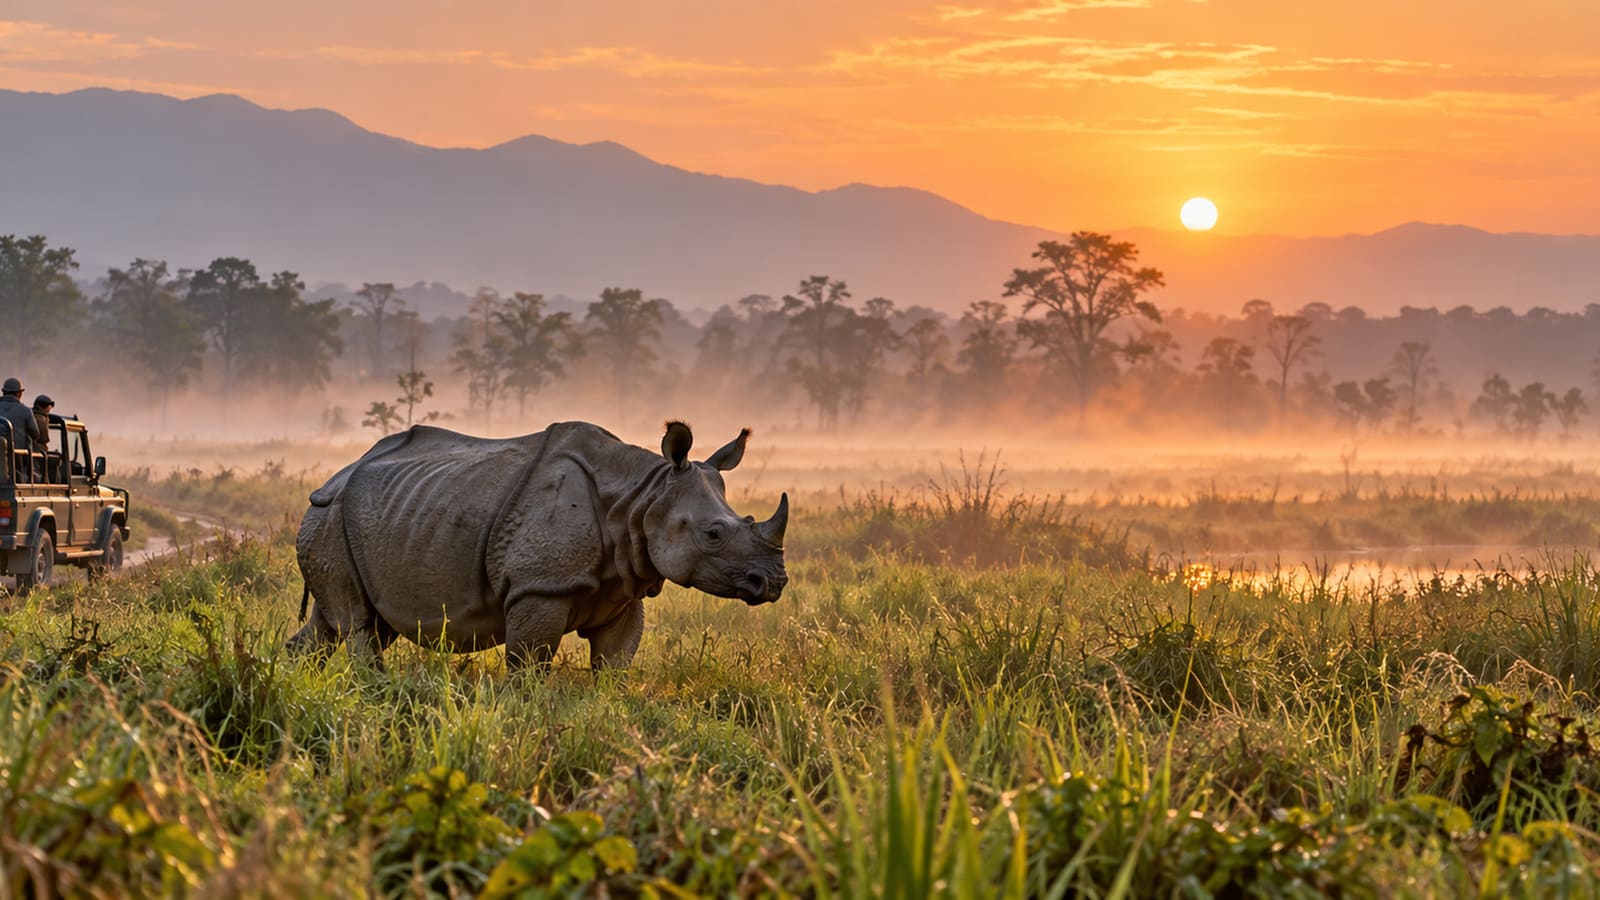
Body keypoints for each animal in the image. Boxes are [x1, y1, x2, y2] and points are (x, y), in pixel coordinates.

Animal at [290, 420, 788, 668]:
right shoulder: (540, 586)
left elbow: (614, 664)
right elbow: (528, 666)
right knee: (358, 626)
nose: (774, 582)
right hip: (330, 516)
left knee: (338, 625)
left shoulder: (625, 587)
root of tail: (333, 478)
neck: (641, 497)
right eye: (714, 534)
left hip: (354, 519)